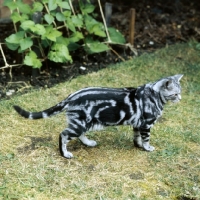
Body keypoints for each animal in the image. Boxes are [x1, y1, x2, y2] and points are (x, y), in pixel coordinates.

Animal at [13, 74, 183, 159]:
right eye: (175, 94)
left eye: (180, 92)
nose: (181, 99)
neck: (154, 95)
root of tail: (70, 97)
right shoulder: (146, 124)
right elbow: (146, 138)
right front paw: (147, 148)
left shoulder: (138, 124)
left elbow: (137, 138)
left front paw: (138, 146)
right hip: (80, 123)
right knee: (63, 135)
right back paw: (65, 154)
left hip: (85, 122)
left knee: (80, 135)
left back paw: (88, 143)